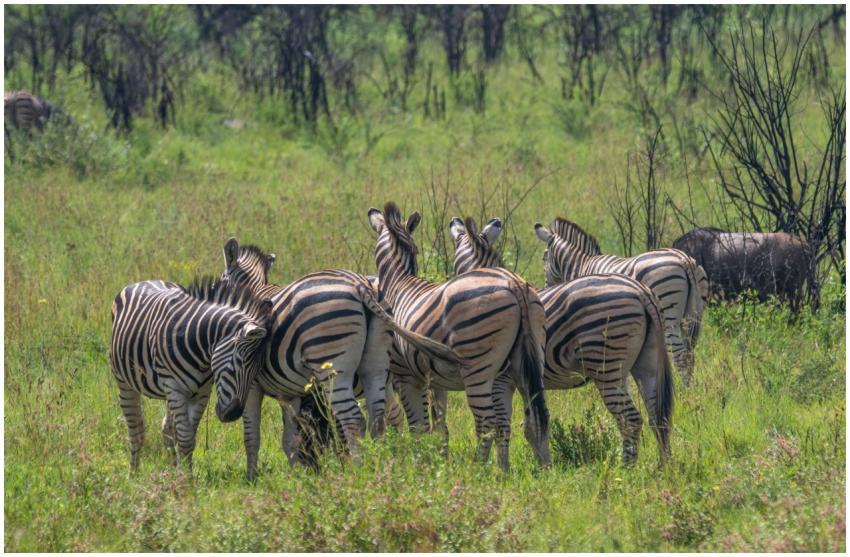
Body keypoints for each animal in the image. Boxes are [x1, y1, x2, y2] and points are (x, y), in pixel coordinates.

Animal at [109, 276, 272, 470]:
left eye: (257, 372)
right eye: (237, 364)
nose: (232, 415)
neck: (200, 349)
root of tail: (145, 281)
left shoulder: (202, 392)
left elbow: (188, 438)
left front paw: (181, 473)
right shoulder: (174, 388)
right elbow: (185, 440)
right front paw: (187, 478)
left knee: (167, 429)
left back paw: (171, 468)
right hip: (124, 382)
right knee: (136, 431)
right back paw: (133, 473)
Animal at [219, 237, 459, 479]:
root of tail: (362, 285)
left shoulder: (252, 385)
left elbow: (252, 436)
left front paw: (253, 477)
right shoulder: (290, 391)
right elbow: (293, 436)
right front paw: (299, 474)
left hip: (339, 364)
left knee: (361, 419)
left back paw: (363, 470)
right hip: (382, 366)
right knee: (394, 417)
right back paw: (397, 461)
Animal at [368, 202, 551, 470]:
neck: (398, 282)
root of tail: (514, 284)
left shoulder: (406, 376)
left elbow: (419, 426)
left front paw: (420, 464)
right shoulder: (437, 380)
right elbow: (440, 424)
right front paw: (441, 460)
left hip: (476, 366)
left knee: (486, 422)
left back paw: (478, 469)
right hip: (532, 359)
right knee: (537, 417)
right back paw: (541, 467)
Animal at [450, 216, 673, 464]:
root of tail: (641, 291)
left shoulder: (500, 379)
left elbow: (502, 426)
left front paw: (500, 467)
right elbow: (531, 424)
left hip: (606, 366)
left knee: (631, 420)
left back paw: (627, 468)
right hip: (647, 363)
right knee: (658, 417)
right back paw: (663, 467)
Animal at [534, 217, 705, 385]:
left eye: (543, 258)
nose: (546, 287)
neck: (582, 266)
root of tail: (684, 260)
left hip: (669, 314)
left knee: (680, 353)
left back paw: (684, 388)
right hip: (692, 315)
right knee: (690, 352)